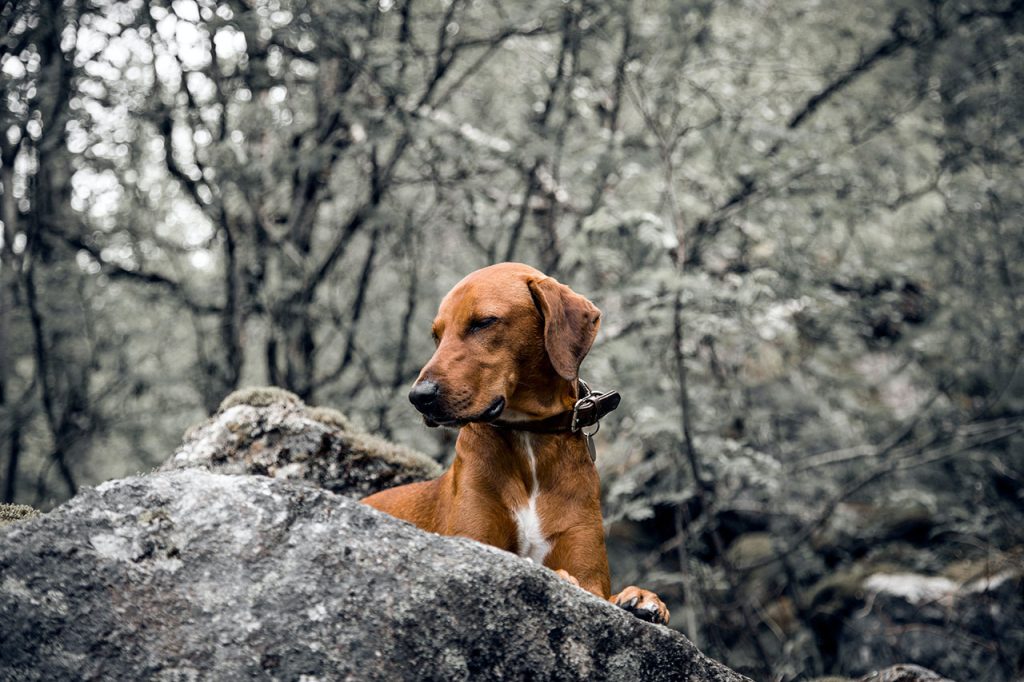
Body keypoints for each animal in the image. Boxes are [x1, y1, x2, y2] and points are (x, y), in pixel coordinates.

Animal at [362, 260, 671, 622]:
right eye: (437, 335)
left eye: (483, 322)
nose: (419, 397)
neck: (529, 433)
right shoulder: (475, 543)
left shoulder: (590, 574)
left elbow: (598, 589)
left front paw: (639, 597)